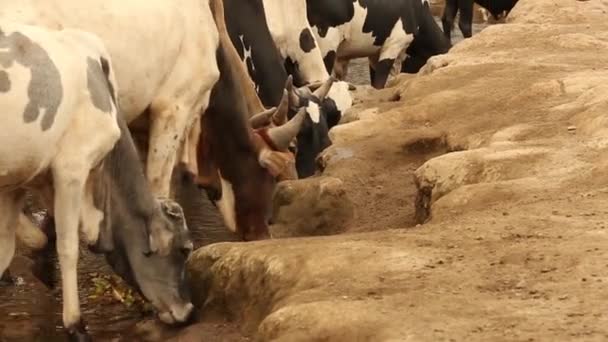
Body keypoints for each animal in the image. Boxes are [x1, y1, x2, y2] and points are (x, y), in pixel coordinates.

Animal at [0, 22, 192, 340]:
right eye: (184, 249)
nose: (189, 311)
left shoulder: (15, 183)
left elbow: (7, 248)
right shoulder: (72, 169)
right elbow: (67, 248)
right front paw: (75, 324)